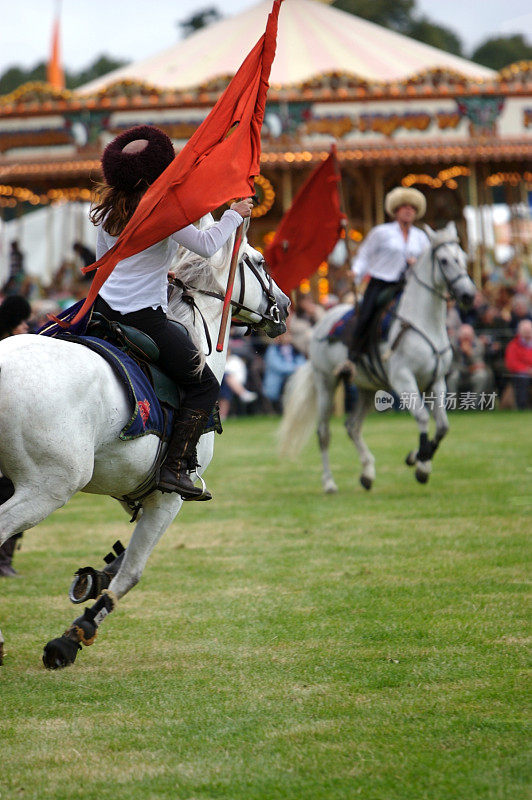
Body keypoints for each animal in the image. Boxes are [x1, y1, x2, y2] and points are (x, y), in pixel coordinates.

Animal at [0, 216, 288, 664]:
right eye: (259, 261)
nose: (286, 307)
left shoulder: (132, 487)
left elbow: (120, 563)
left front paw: (93, 579)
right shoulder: (168, 496)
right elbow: (133, 571)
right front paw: (73, 636)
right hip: (47, 487)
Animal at [280, 222, 476, 490]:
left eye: (463, 257)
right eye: (444, 260)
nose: (468, 295)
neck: (424, 323)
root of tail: (321, 323)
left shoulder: (436, 381)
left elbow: (443, 426)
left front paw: (418, 458)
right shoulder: (403, 379)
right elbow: (422, 417)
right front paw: (420, 463)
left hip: (367, 388)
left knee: (352, 426)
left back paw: (367, 473)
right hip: (326, 383)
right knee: (323, 432)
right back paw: (329, 482)